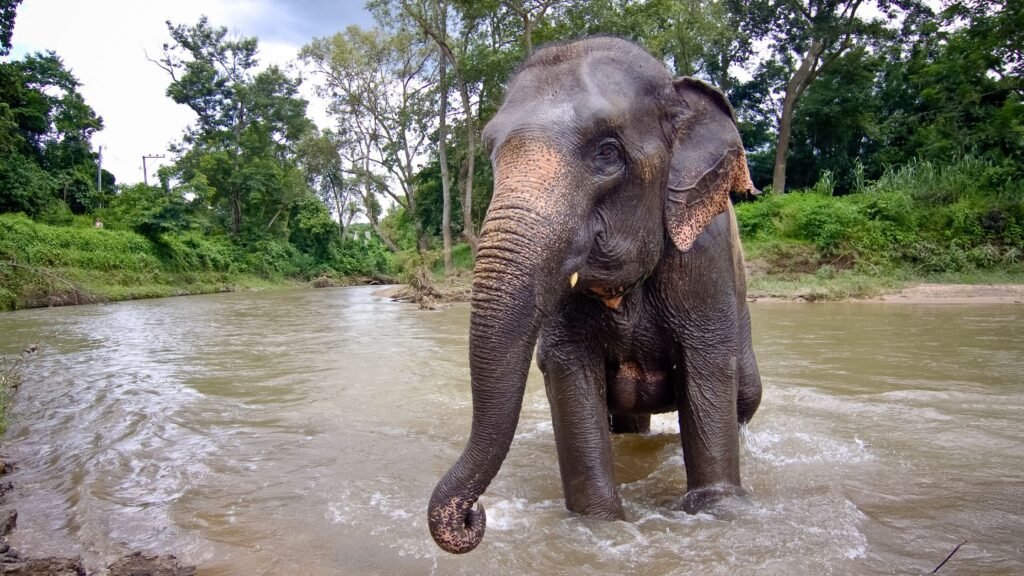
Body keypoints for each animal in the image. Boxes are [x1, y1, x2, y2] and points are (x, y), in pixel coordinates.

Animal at [425, 34, 761, 553]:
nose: (472, 516)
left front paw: (719, 510)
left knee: (745, 395)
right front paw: (599, 528)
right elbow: (569, 372)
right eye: (491, 153)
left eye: (606, 153)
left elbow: (706, 364)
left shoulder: (704, 260)